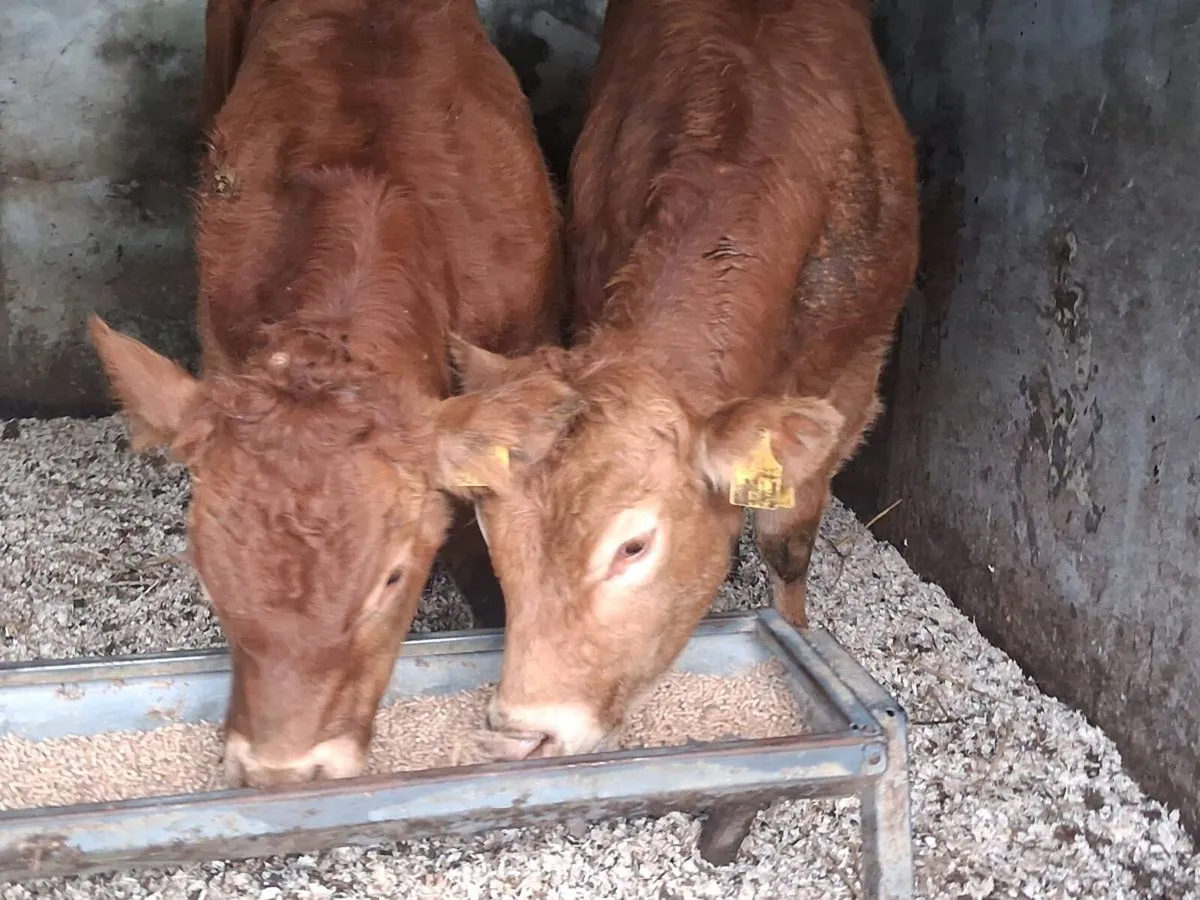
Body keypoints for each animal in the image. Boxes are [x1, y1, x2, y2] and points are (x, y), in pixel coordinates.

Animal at [431, 0, 920, 760]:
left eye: (633, 546)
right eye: (491, 532)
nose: (521, 734)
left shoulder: (851, 375)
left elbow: (788, 544)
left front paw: (801, 636)